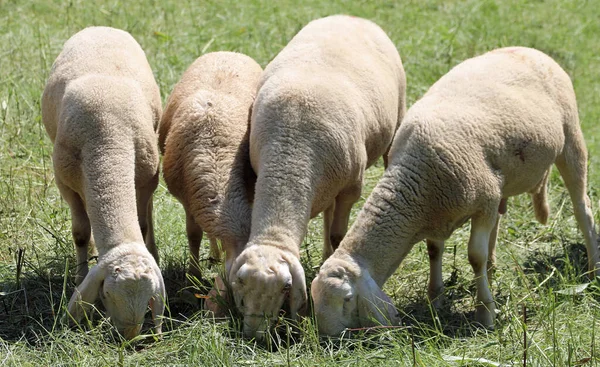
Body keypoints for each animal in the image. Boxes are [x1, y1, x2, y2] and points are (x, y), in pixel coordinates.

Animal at [41, 26, 166, 342]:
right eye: (107, 294)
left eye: (150, 298)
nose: (129, 338)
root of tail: (102, 27)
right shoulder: (65, 184)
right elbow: (80, 233)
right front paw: (79, 276)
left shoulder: (147, 179)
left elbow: (142, 224)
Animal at [227, 15, 406, 340]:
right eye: (240, 287)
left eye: (286, 287)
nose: (255, 335)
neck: (290, 154)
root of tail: (350, 16)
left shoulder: (351, 187)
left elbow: (338, 235)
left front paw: (330, 262)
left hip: (396, 120)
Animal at [312, 46, 596, 336]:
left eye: (347, 299)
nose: (333, 338)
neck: (415, 185)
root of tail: (529, 50)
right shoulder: (441, 210)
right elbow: (434, 251)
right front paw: (435, 297)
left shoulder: (482, 204)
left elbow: (475, 256)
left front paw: (485, 313)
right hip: (501, 179)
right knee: (501, 215)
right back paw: (493, 271)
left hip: (571, 137)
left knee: (582, 207)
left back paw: (593, 268)